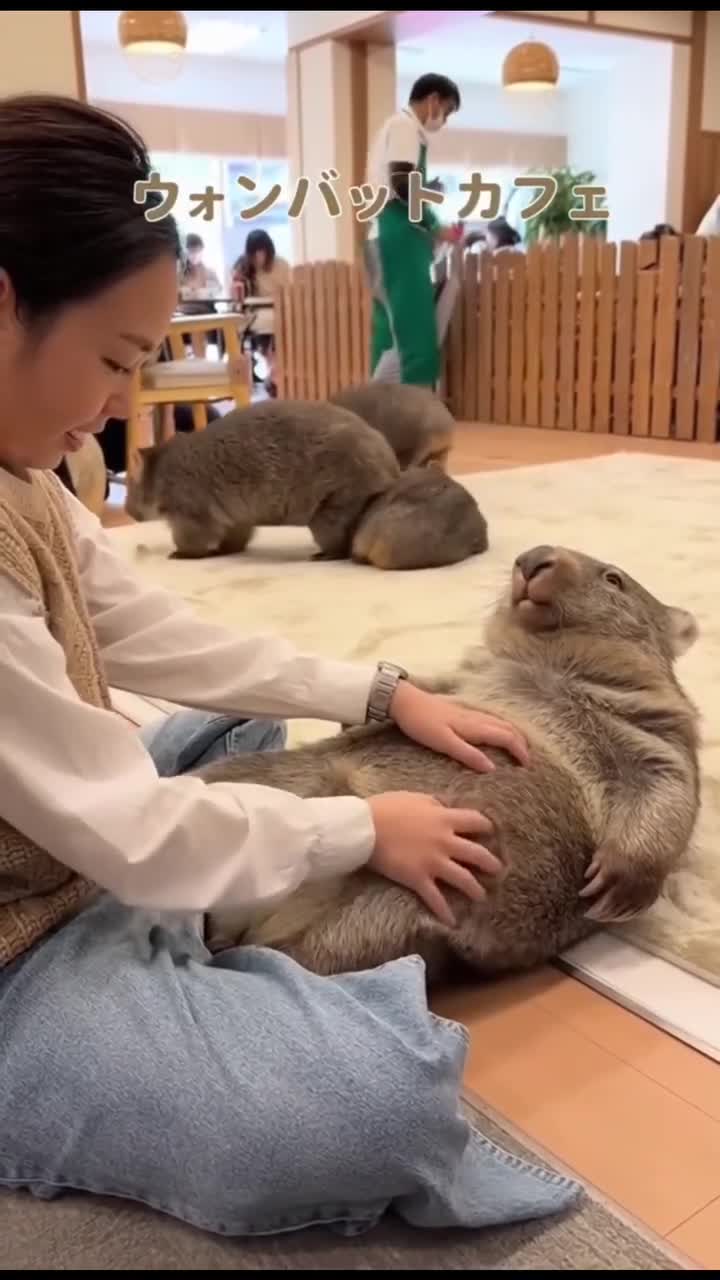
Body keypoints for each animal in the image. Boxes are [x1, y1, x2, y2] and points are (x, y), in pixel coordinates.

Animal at [125, 399, 400, 561]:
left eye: (130, 490)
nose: (127, 512)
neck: (161, 470)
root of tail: (390, 461)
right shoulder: (235, 513)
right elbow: (237, 531)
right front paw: (225, 549)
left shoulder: (189, 503)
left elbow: (191, 533)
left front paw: (181, 553)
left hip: (340, 491)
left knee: (333, 530)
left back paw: (324, 554)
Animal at [200, 546, 701, 983]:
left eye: (614, 580)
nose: (533, 558)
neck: (551, 661)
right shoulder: (461, 680)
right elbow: (425, 691)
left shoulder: (656, 729)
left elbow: (668, 785)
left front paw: (612, 887)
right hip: (285, 779)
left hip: (399, 906)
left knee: (313, 953)